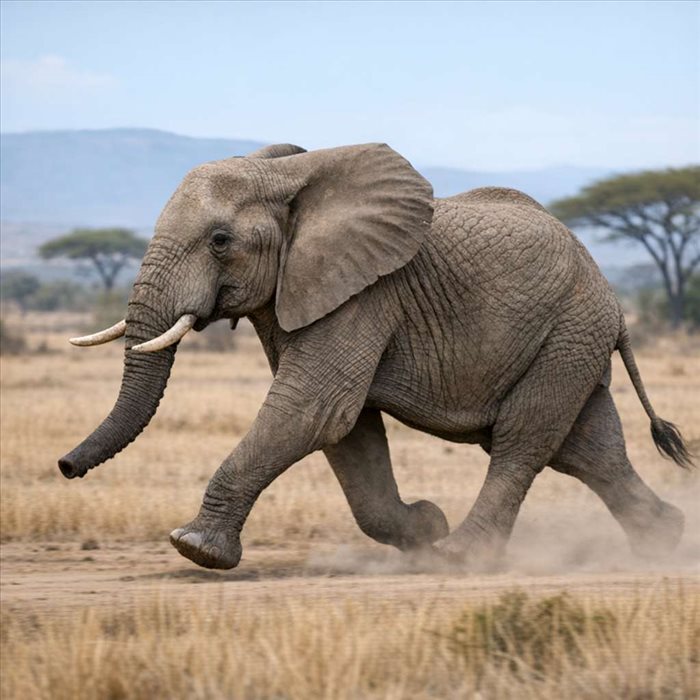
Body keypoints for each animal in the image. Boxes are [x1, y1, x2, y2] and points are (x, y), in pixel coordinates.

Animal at [58, 142, 692, 571]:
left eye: (219, 241)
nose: (64, 467)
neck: (287, 176)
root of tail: (609, 290)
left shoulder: (368, 292)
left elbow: (314, 410)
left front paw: (194, 550)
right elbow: (348, 430)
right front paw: (424, 524)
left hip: (570, 329)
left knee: (524, 437)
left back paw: (464, 556)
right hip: (570, 338)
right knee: (587, 447)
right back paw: (662, 543)